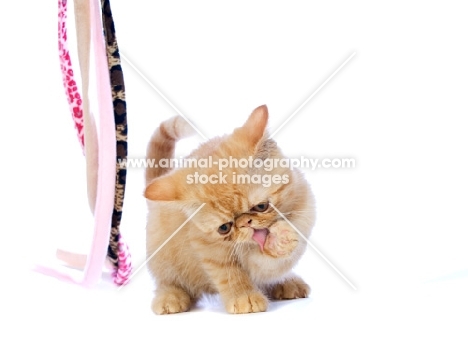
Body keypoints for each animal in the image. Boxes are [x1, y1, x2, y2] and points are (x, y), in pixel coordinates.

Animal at [144, 104, 316, 314]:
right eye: (224, 228)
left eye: (261, 206)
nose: (245, 223)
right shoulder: (208, 248)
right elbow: (230, 274)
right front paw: (244, 297)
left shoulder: (305, 213)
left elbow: (274, 264)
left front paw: (279, 241)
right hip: (162, 255)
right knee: (167, 281)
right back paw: (170, 297)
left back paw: (287, 282)